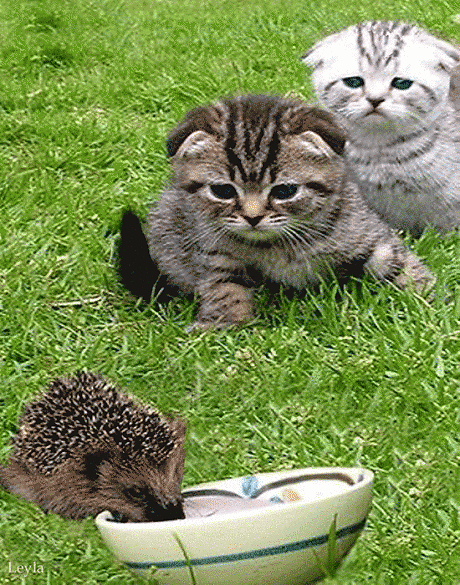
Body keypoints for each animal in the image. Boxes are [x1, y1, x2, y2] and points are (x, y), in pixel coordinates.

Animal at [118, 94, 434, 330]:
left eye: (285, 192)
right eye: (223, 191)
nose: (253, 217)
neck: (277, 244)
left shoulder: (363, 230)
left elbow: (395, 261)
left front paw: (428, 299)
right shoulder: (215, 250)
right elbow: (223, 285)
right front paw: (225, 323)